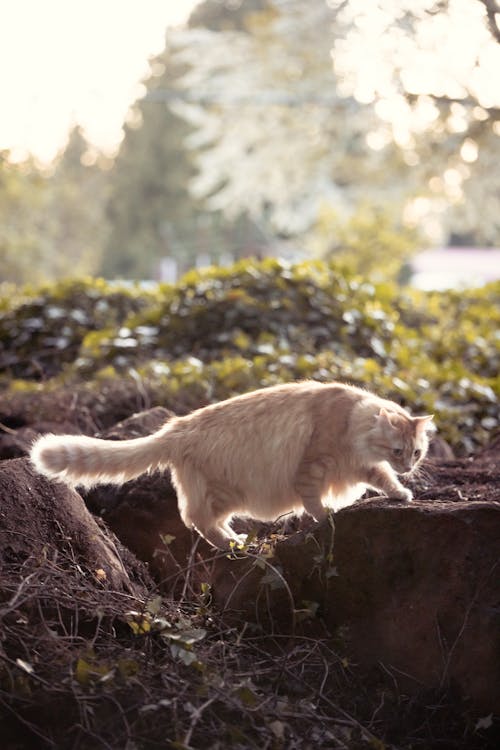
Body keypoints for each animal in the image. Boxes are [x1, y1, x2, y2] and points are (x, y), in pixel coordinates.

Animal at [30, 384, 434, 548]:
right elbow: (313, 501)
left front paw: (401, 492)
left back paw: (236, 540)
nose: (407, 467)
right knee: (196, 519)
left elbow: (382, 478)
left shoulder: (359, 467)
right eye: (398, 450)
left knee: (201, 520)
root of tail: (177, 427)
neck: (354, 422)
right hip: (224, 491)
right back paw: (232, 545)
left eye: (416, 453)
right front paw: (325, 517)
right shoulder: (312, 466)